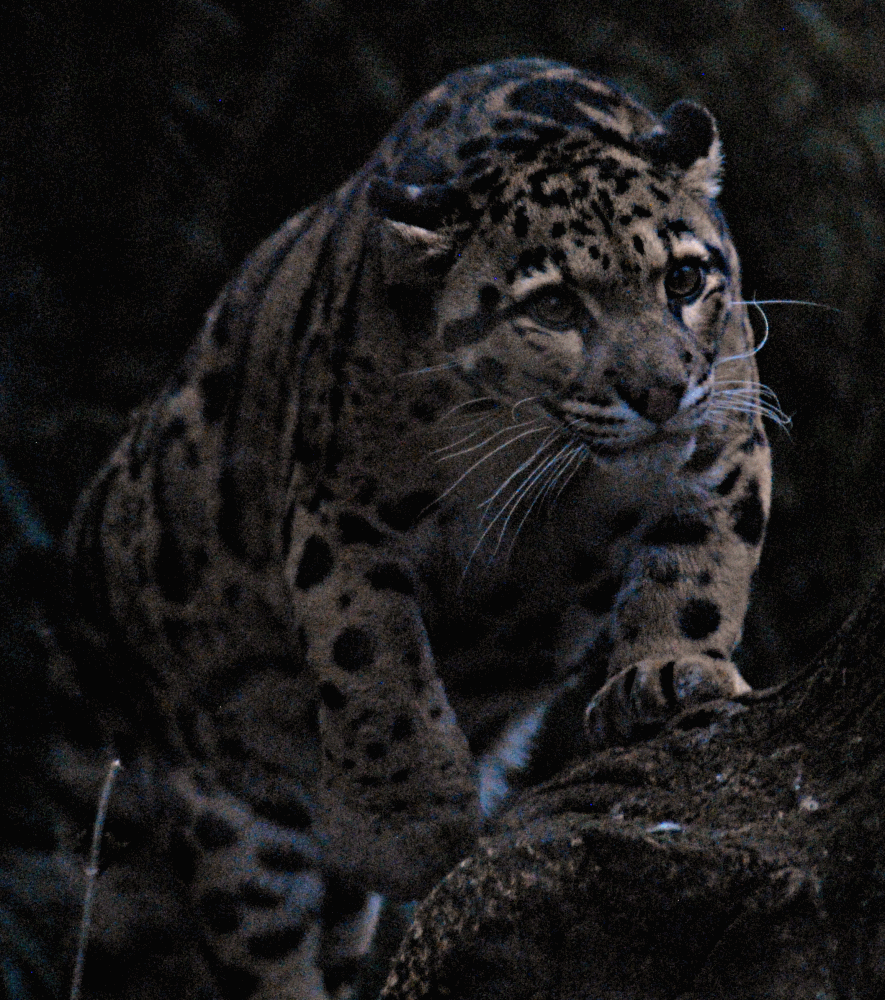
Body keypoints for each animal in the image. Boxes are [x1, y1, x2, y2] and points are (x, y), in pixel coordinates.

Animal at [59, 57, 774, 998]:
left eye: (683, 282)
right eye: (554, 307)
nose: (657, 392)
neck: (549, 463)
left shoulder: (723, 443)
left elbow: (695, 570)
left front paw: (665, 674)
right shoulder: (342, 515)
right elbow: (374, 661)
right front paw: (407, 830)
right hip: (220, 811)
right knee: (261, 948)